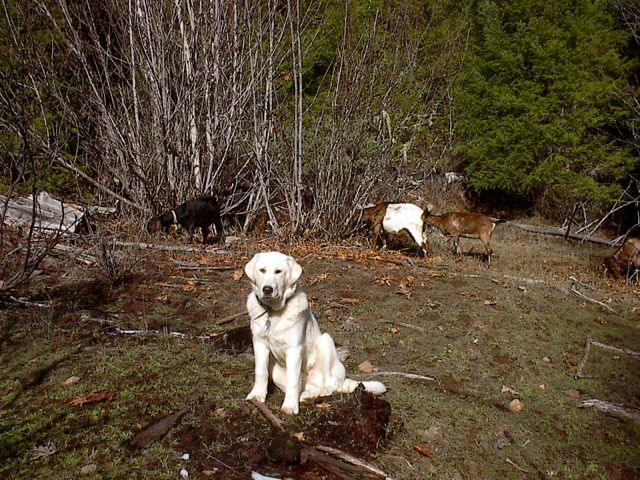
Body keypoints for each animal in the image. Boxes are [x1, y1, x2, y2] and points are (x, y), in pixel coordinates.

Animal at [244, 251, 384, 412]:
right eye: (262, 270)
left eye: (278, 271)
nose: (267, 289)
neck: (272, 312)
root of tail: (343, 380)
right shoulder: (259, 343)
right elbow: (260, 372)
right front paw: (257, 395)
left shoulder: (294, 349)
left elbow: (293, 380)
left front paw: (290, 406)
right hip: (276, 370)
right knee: (309, 387)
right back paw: (305, 395)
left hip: (325, 341)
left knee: (329, 385)